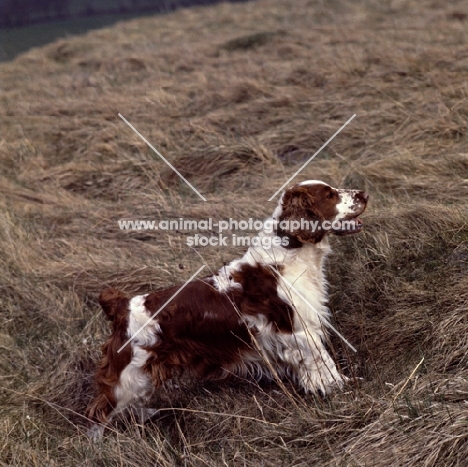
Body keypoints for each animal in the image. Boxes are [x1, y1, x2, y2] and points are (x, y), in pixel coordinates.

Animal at [86, 180, 368, 438]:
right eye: (330, 194)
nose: (364, 193)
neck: (290, 256)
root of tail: (122, 306)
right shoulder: (300, 332)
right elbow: (324, 363)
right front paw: (340, 387)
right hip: (129, 376)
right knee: (99, 411)